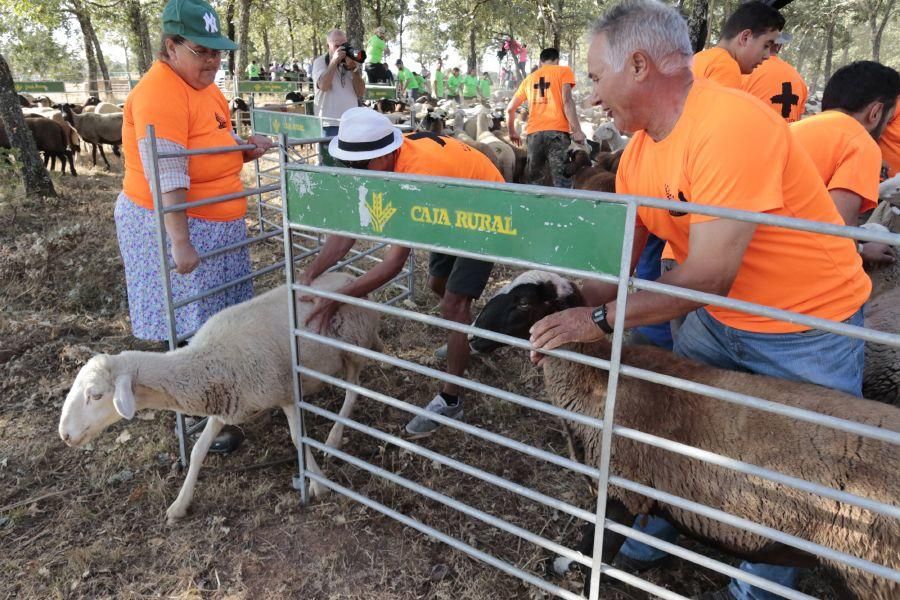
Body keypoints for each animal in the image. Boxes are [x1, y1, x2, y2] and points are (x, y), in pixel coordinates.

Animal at [59, 274, 384, 524]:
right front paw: (180, 504)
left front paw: (317, 483)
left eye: (95, 395)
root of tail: (350, 277)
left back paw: (334, 437)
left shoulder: (286, 392)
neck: (207, 360)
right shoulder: (224, 404)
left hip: (353, 349)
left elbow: (296, 438)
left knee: (354, 391)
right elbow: (198, 450)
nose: (64, 435)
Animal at [472, 272, 900, 600]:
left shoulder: (623, 488)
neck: (599, 382)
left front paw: (567, 569)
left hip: (870, 569)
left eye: (523, 303)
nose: (474, 338)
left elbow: (596, 544)